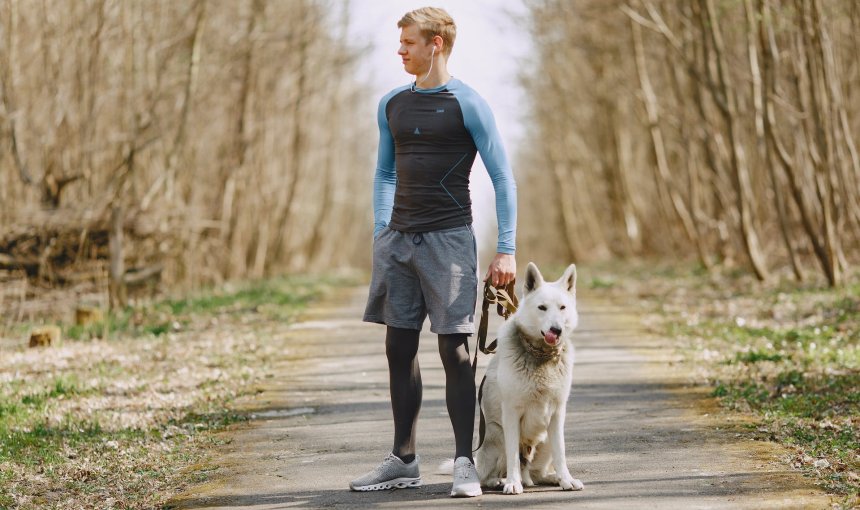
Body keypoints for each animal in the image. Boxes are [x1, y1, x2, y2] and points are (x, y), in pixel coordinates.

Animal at [474, 262, 588, 494]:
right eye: (542, 308)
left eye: (562, 308)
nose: (556, 330)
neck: (541, 355)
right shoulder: (511, 413)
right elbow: (512, 457)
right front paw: (512, 483)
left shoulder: (557, 414)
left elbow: (561, 453)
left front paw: (567, 479)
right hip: (497, 435)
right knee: (490, 474)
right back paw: (503, 480)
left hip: (544, 441)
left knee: (537, 473)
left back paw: (552, 478)